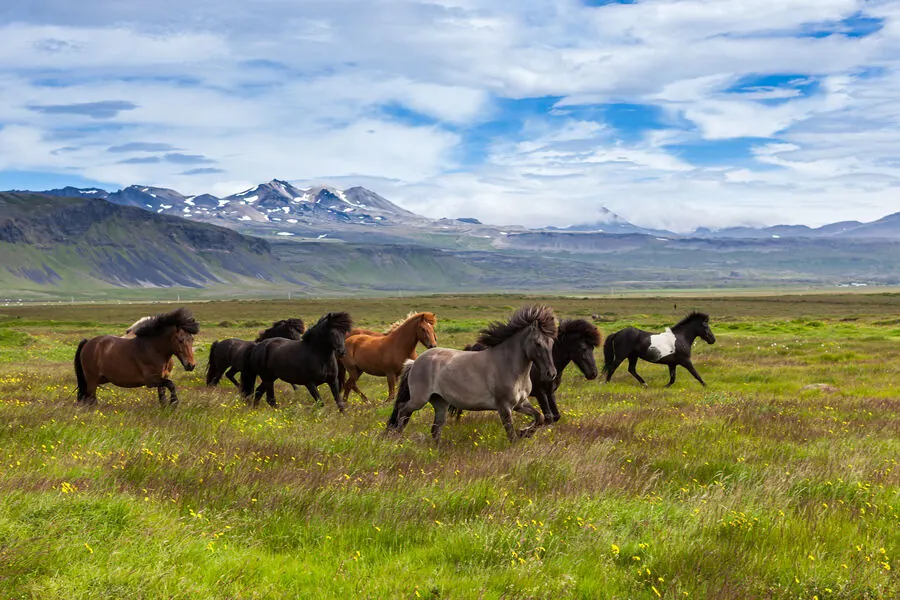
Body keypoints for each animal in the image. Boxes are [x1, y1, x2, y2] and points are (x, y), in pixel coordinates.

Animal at [386, 305, 557, 442]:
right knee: (402, 409)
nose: (551, 374)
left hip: (440, 401)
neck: (509, 366)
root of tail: (414, 362)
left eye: (552, 342)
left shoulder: (520, 403)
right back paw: (398, 436)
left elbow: (540, 417)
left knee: (435, 429)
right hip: (419, 399)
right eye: (538, 343)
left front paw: (525, 432)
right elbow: (511, 435)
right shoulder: (504, 407)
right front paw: (520, 438)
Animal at [451, 318, 601, 423]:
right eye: (583, 348)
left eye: (592, 348)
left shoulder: (550, 392)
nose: (593, 373)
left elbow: (556, 416)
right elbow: (548, 417)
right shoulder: (540, 393)